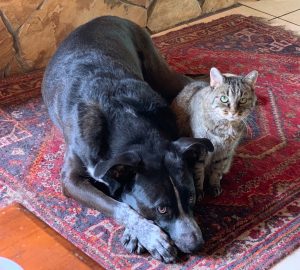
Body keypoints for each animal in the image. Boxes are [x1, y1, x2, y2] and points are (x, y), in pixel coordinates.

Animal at [41, 15, 213, 262]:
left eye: (191, 197)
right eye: (161, 209)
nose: (196, 244)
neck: (127, 120)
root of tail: (104, 17)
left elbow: (124, 199)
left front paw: (137, 234)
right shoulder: (71, 180)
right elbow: (119, 206)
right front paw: (150, 236)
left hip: (161, 74)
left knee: (193, 80)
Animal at [171, 67, 258, 198]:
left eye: (242, 100)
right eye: (224, 98)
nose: (233, 112)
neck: (225, 128)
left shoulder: (225, 152)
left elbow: (216, 170)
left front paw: (214, 185)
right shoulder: (201, 149)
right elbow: (198, 171)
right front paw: (199, 191)